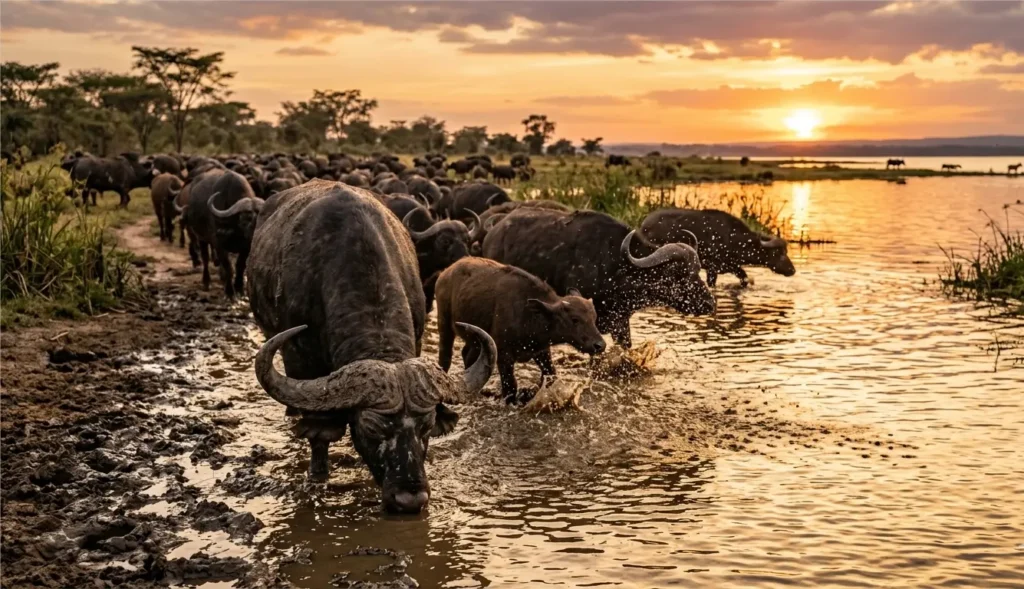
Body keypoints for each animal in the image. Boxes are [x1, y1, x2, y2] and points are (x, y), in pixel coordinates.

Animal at [247, 180, 496, 513]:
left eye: (426, 426)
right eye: (372, 428)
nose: (409, 499)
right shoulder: (299, 360)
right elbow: (319, 433)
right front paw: (318, 475)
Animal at [436, 257, 605, 403]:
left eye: (594, 317)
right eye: (575, 319)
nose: (600, 345)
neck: (531, 315)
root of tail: (446, 272)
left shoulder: (541, 352)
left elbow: (551, 375)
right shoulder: (504, 355)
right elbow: (510, 386)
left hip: (477, 339)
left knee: (468, 355)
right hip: (444, 325)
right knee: (445, 356)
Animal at [483, 208, 715, 348]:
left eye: (697, 270)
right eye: (678, 274)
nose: (710, 304)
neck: (615, 266)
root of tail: (494, 231)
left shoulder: (620, 322)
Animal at [639, 209, 795, 287]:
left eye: (786, 251)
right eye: (779, 253)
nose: (792, 270)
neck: (733, 238)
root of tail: (644, 225)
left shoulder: (731, 266)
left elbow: (744, 278)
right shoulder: (713, 268)